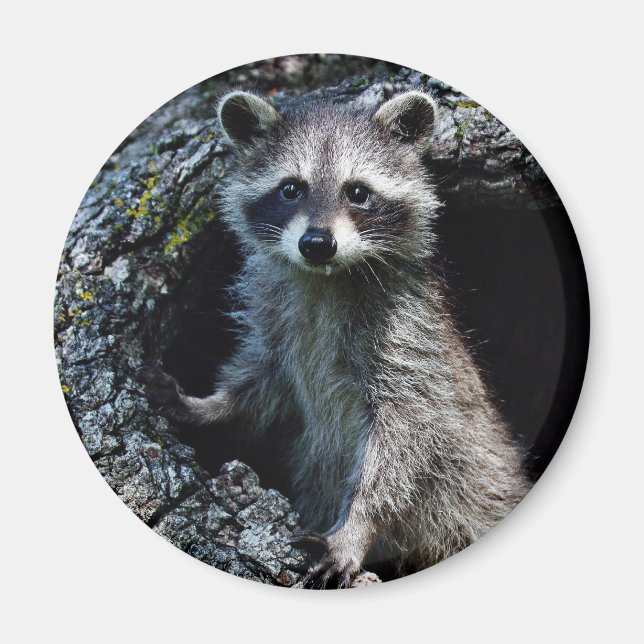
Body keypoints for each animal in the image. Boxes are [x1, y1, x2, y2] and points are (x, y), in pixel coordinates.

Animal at [142, 90, 530, 587]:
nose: (316, 243)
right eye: (291, 188)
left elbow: (405, 438)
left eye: (357, 192)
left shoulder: (407, 336)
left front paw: (356, 527)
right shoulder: (277, 321)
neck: (325, 279)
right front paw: (209, 407)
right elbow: (262, 382)